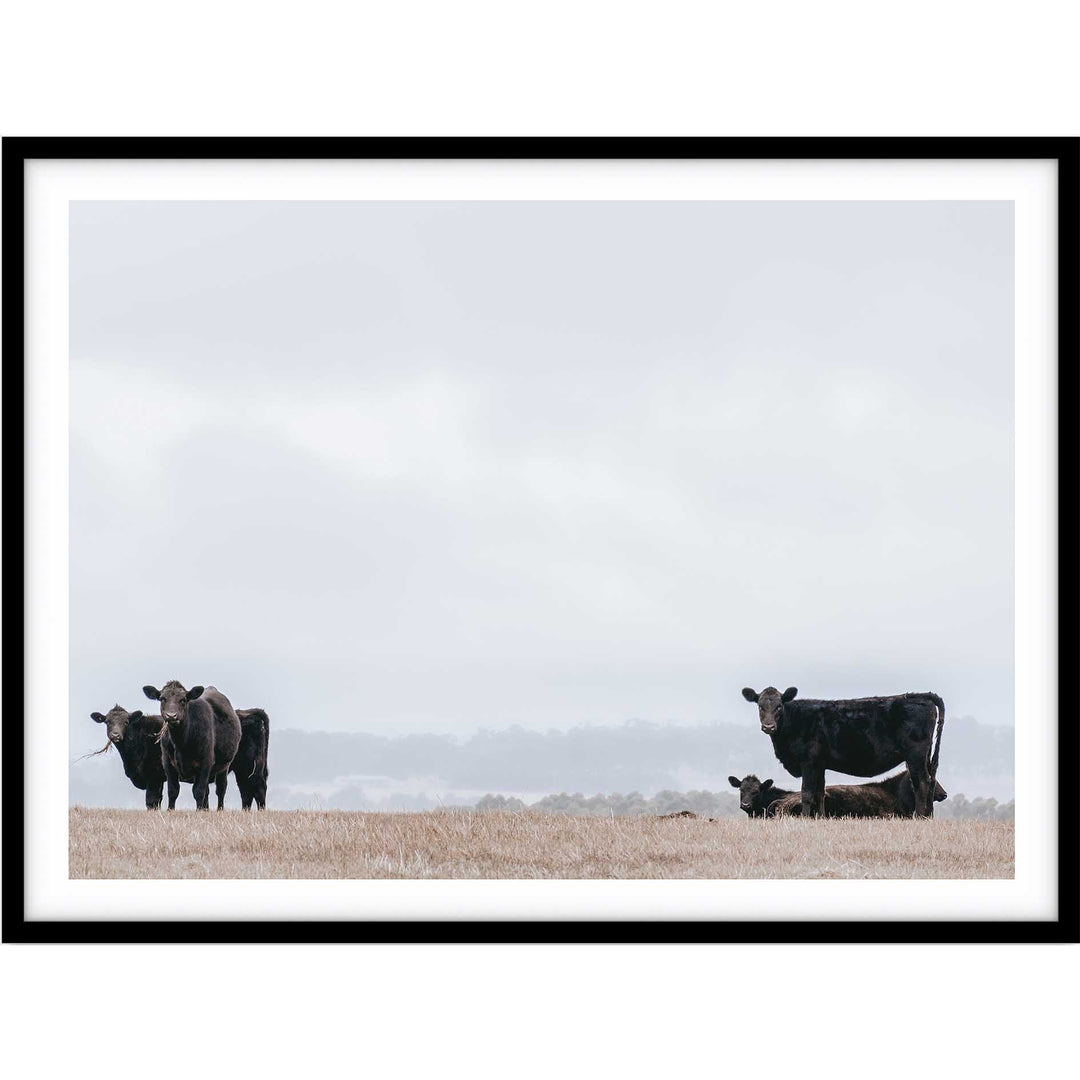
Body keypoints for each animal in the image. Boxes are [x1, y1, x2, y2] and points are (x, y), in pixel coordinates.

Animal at [143, 681, 241, 811]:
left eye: (183, 700)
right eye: (162, 699)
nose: (171, 716)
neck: (181, 743)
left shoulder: (206, 762)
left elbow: (198, 791)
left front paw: (199, 810)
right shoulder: (167, 763)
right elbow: (173, 790)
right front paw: (170, 809)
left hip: (224, 766)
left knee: (221, 789)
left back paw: (219, 809)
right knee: (207, 791)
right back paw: (206, 809)